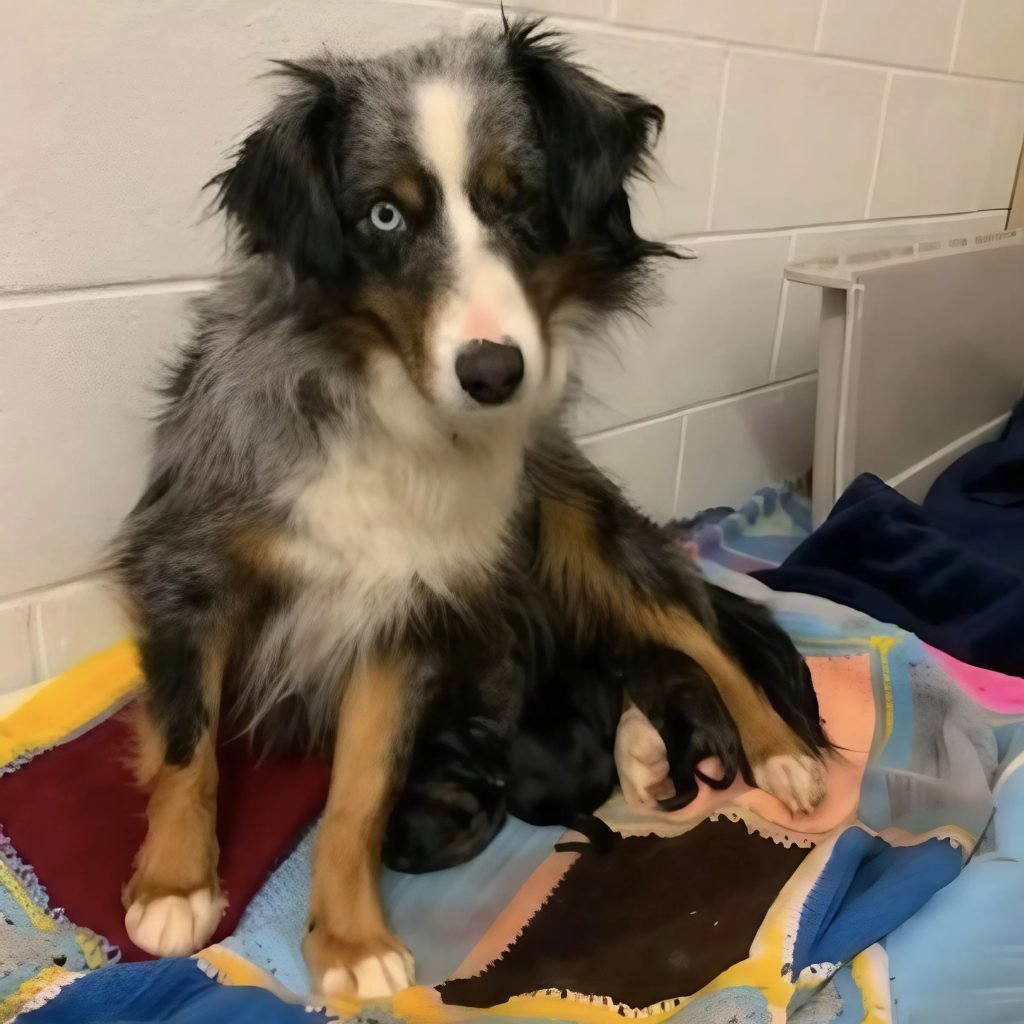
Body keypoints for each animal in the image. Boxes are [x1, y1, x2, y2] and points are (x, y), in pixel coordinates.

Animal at [112, 18, 827, 999]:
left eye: (516, 199)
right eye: (383, 215)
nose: (494, 375)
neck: (390, 406)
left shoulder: (403, 609)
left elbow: (361, 792)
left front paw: (351, 942)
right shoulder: (188, 563)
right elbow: (189, 740)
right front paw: (176, 886)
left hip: (585, 529)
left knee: (700, 636)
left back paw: (778, 752)